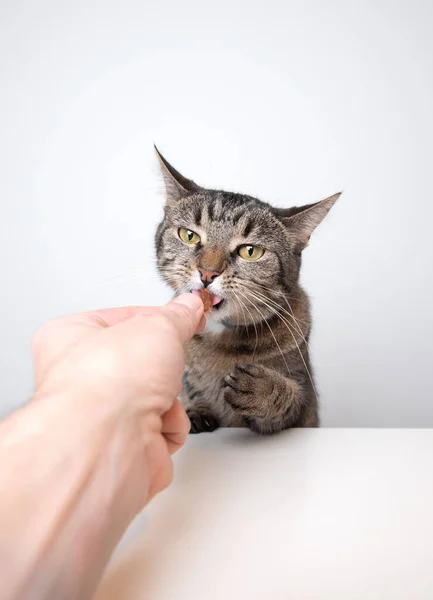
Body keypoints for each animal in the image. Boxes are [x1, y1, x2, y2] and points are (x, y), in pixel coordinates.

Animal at [154, 147, 340, 434]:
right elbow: (191, 390)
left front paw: (265, 390)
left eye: (250, 251)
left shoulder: (306, 410)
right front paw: (196, 411)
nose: (207, 273)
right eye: (189, 235)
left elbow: (291, 400)